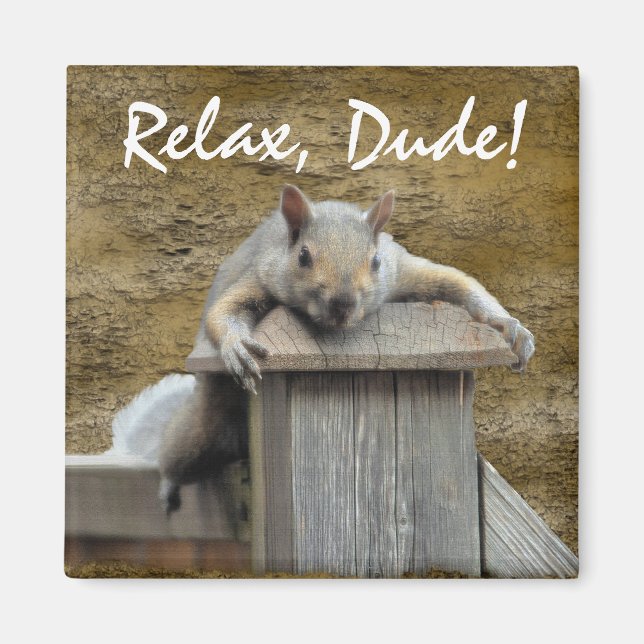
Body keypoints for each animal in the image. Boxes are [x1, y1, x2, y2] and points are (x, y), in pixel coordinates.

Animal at [111, 185, 535, 513]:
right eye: (303, 256)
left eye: (375, 260)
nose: (343, 303)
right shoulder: (261, 274)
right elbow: (223, 313)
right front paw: (237, 348)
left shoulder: (404, 271)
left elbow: (462, 285)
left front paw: (511, 329)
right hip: (202, 428)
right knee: (178, 452)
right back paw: (167, 484)